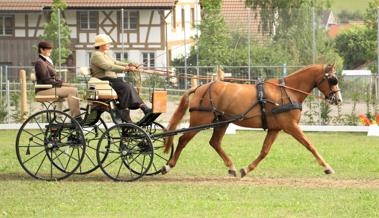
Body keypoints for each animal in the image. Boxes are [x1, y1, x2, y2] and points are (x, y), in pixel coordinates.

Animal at [162, 63, 342, 177]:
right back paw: (168, 165)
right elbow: (310, 145)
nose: (338, 99)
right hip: (200, 121)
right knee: (183, 140)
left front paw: (246, 169)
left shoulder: (275, 129)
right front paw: (327, 167)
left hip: (222, 122)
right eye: (332, 79)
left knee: (215, 143)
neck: (287, 92)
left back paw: (232, 167)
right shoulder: (291, 126)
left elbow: (264, 151)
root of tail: (201, 87)